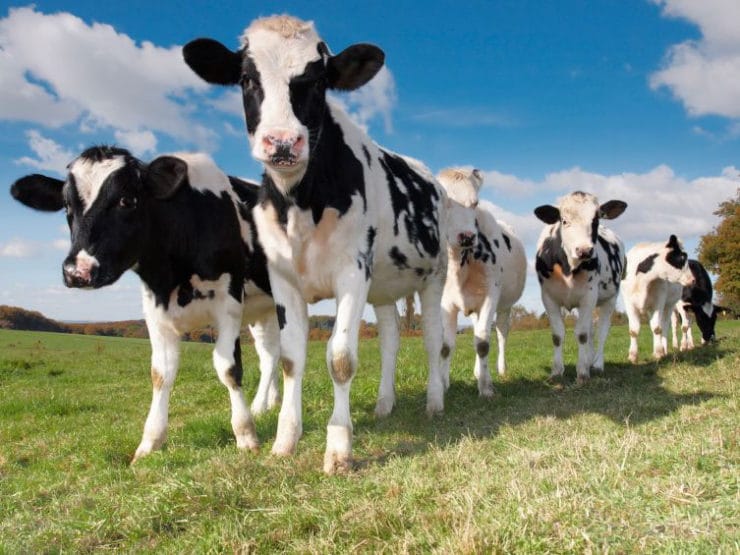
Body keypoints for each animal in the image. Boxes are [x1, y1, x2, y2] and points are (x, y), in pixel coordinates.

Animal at [10, 146, 281, 462]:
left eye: (127, 200)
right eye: (67, 207)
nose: (77, 271)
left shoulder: (229, 300)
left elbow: (228, 368)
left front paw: (245, 434)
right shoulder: (155, 310)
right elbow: (161, 374)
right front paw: (150, 442)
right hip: (262, 310)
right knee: (270, 355)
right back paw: (266, 404)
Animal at [183, 15, 447, 474]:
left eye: (320, 80)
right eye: (247, 79)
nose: (282, 142)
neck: (300, 204)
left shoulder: (352, 272)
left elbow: (340, 358)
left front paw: (339, 448)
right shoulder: (284, 280)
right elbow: (291, 359)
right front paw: (285, 439)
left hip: (434, 275)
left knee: (432, 339)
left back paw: (434, 402)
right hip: (384, 287)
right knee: (392, 339)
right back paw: (384, 404)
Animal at [435, 167, 526, 397]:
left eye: (475, 203)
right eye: (444, 203)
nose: (467, 236)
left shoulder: (490, 297)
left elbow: (484, 342)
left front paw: (485, 388)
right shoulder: (446, 303)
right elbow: (446, 345)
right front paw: (443, 383)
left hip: (505, 306)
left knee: (500, 334)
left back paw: (500, 370)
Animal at [534, 191, 627, 383]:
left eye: (595, 220)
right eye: (564, 220)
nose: (584, 250)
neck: (568, 268)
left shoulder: (588, 296)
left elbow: (582, 334)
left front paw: (582, 372)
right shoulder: (548, 298)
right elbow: (557, 335)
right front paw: (556, 371)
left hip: (610, 299)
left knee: (601, 331)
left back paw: (597, 364)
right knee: (592, 331)